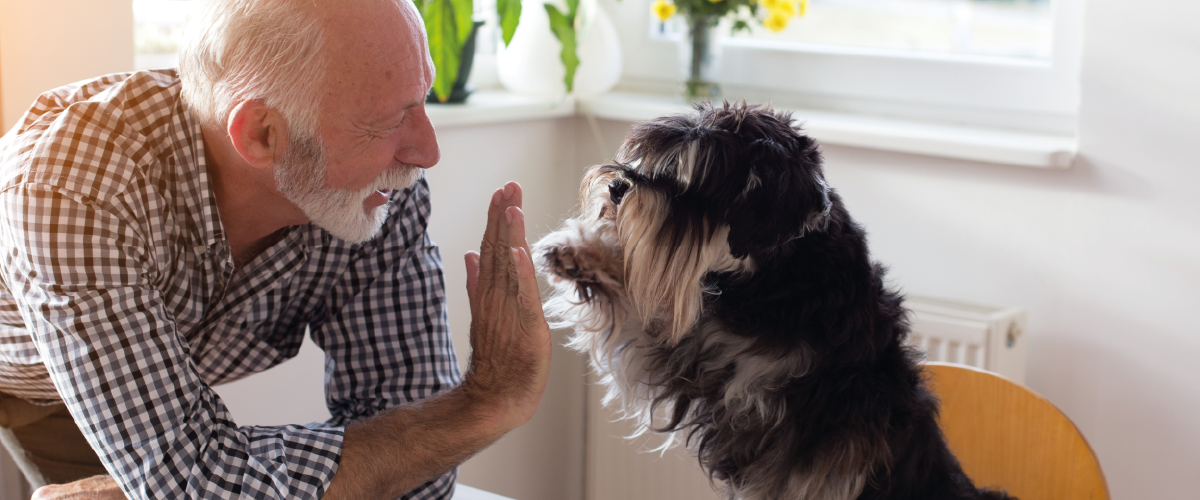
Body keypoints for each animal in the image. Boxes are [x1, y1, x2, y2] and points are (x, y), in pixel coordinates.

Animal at [535, 101, 1012, 498]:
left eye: (695, 182)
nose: (617, 186)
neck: (777, 282)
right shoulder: (697, 352)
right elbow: (640, 312)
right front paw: (579, 253)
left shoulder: (758, 406)